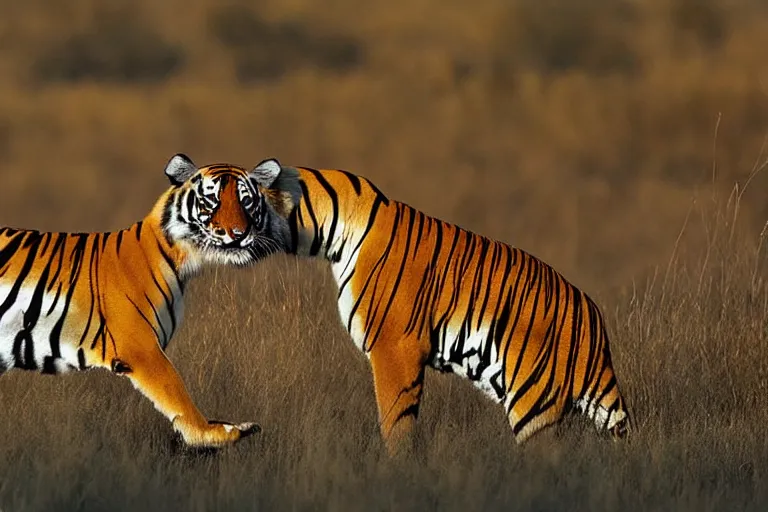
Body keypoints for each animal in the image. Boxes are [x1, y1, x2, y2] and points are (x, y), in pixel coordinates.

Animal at [0, 153, 300, 448]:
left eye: (246, 201)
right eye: (211, 200)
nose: (238, 234)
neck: (180, 260)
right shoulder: (141, 347)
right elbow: (175, 389)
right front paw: (213, 433)